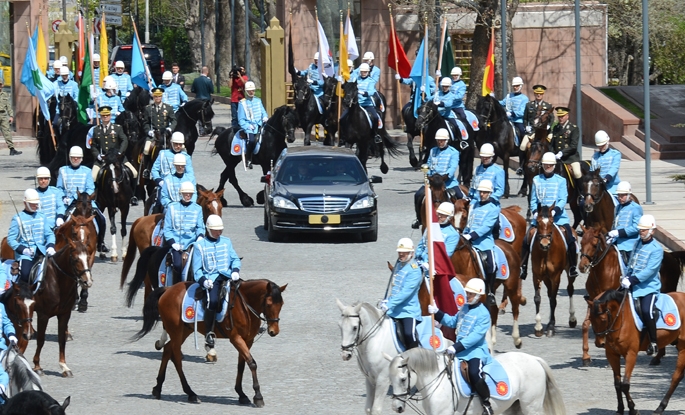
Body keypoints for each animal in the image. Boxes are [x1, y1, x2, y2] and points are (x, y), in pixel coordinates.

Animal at [32, 239, 93, 378]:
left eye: (87, 257)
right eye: (75, 259)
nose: (87, 282)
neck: (57, 282)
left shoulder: (64, 314)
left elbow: (61, 339)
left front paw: (64, 366)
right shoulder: (43, 315)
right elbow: (41, 340)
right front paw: (37, 366)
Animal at [134, 280, 286, 406]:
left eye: (281, 304)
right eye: (269, 304)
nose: (274, 331)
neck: (245, 305)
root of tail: (168, 289)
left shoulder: (248, 340)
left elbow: (242, 365)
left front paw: (241, 394)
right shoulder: (236, 338)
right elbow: (252, 363)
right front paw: (258, 396)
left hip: (185, 330)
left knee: (167, 349)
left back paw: (158, 388)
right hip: (176, 330)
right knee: (176, 356)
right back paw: (191, 393)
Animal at [528, 204, 576, 338]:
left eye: (551, 221)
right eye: (538, 222)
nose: (545, 244)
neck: (545, 253)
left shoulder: (555, 276)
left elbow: (554, 300)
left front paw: (551, 327)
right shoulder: (537, 276)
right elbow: (538, 299)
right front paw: (538, 327)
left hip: (569, 273)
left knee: (570, 290)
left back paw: (572, 319)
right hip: (546, 278)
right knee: (550, 295)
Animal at [576, 224, 684, 368]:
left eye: (594, 244)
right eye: (581, 243)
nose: (582, 266)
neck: (603, 270)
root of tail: (670, 255)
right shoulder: (594, 301)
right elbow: (585, 324)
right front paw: (586, 356)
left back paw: (658, 355)